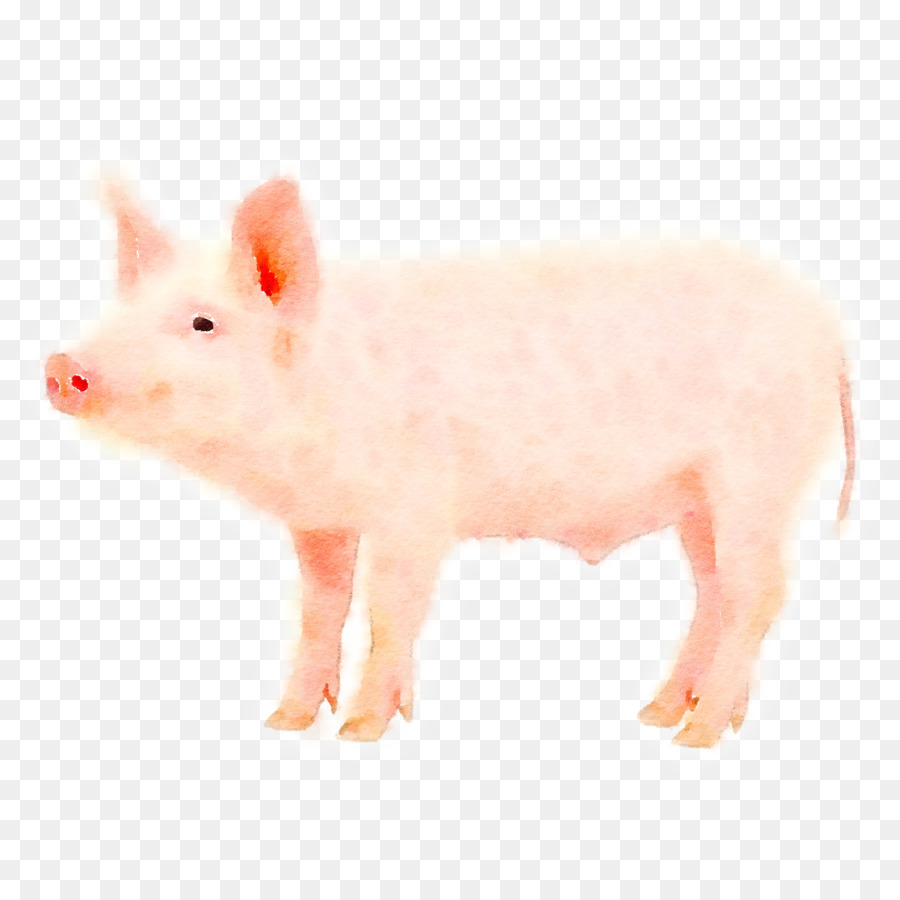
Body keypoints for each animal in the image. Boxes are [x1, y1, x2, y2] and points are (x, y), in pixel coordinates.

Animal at [45, 177, 855, 748]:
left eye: (203, 322)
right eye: (120, 311)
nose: (60, 367)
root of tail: (826, 330)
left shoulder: (416, 508)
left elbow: (388, 608)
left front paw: (362, 731)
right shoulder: (320, 520)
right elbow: (320, 611)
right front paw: (285, 722)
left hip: (757, 476)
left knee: (760, 592)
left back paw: (696, 735)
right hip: (697, 499)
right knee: (715, 591)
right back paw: (660, 714)